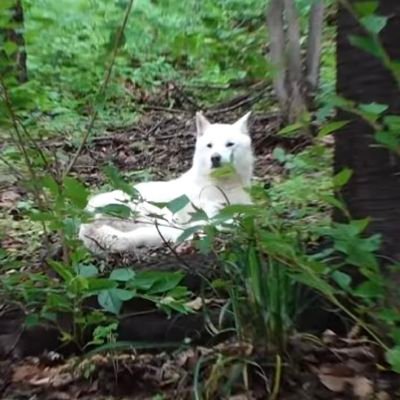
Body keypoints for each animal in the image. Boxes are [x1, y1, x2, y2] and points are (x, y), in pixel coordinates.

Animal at [79, 111, 253, 253]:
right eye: (209, 145)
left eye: (229, 144)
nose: (215, 157)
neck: (225, 185)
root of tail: (87, 224)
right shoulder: (207, 212)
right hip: (160, 213)